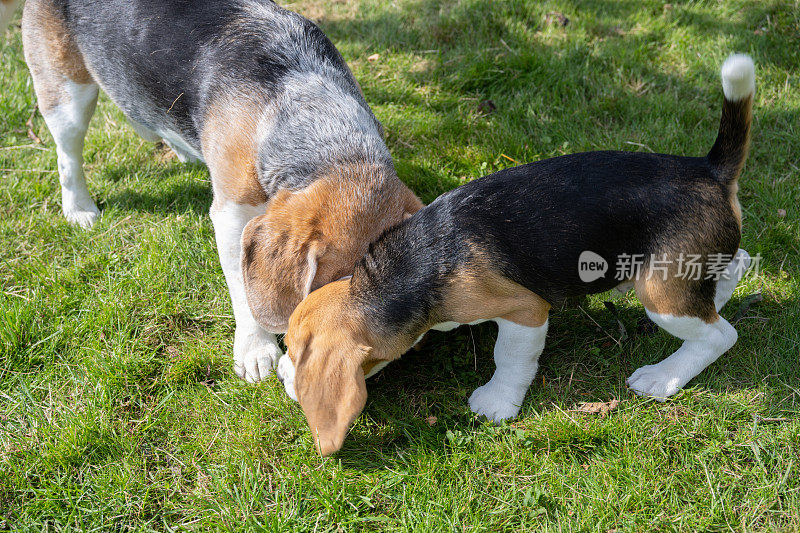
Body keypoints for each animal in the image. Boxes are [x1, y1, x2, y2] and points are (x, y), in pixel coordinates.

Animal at [6, 1, 422, 382]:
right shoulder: (233, 214)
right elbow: (243, 290)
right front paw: (256, 350)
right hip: (67, 95)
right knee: (68, 155)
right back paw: (79, 209)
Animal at [280, 53, 756, 454]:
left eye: (298, 354)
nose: (283, 376)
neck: (400, 271)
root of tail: (707, 169)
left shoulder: (525, 309)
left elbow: (508, 357)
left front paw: (497, 402)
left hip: (660, 293)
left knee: (720, 335)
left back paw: (663, 376)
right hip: (690, 265)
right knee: (737, 263)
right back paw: (717, 294)